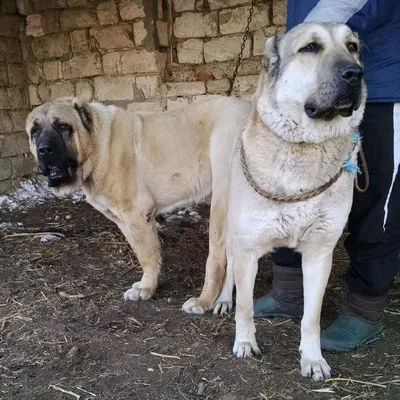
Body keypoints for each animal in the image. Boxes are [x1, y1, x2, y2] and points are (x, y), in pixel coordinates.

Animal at [25, 97, 250, 302]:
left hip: (221, 197)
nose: (44, 149)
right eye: (34, 131)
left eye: (63, 127)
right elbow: (141, 253)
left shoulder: (137, 213)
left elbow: (146, 255)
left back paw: (206, 300)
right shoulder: (123, 220)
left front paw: (146, 288)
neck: (98, 146)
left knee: (218, 254)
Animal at [183, 22, 368, 382]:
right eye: (310, 47)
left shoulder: (319, 254)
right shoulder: (248, 246)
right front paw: (244, 342)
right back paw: (221, 300)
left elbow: (311, 318)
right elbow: (245, 306)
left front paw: (312, 358)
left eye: (352, 47)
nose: (356, 74)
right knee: (227, 265)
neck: (303, 153)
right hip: (228, 224)